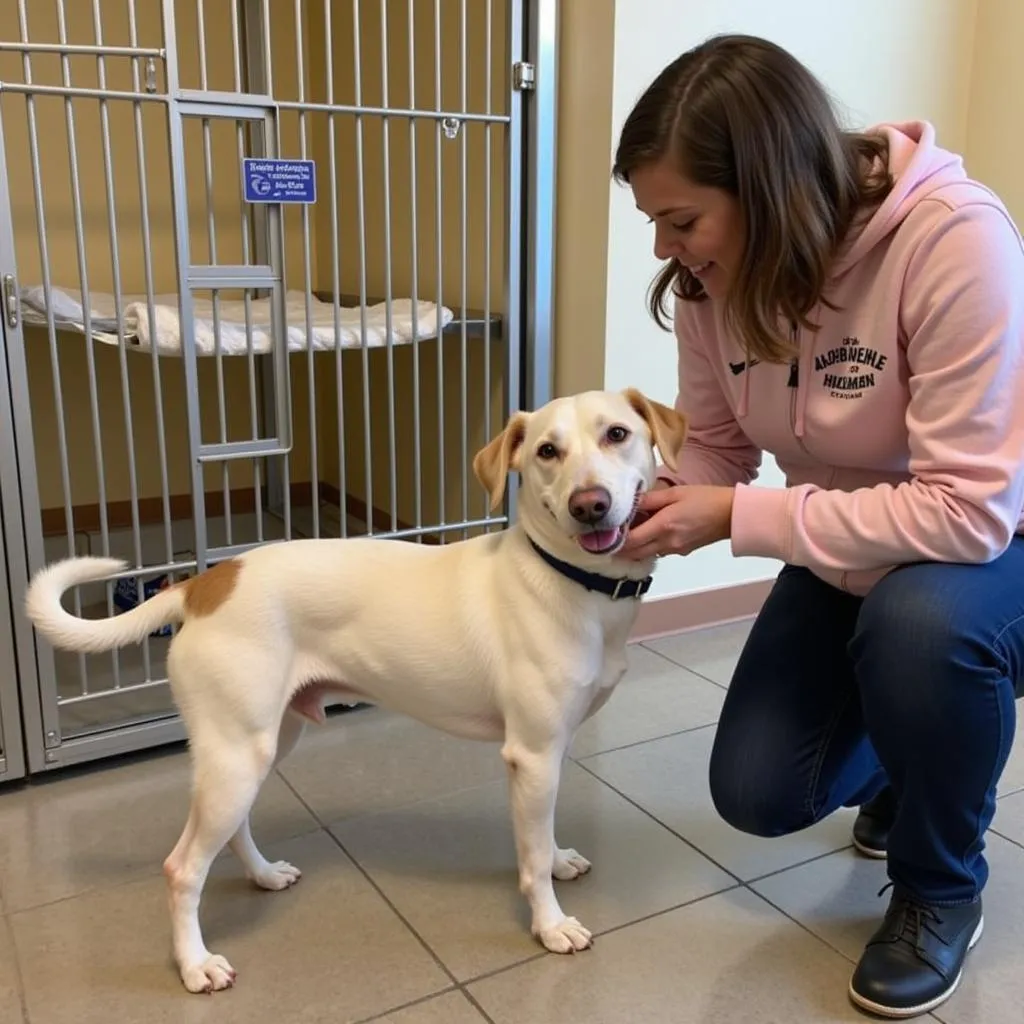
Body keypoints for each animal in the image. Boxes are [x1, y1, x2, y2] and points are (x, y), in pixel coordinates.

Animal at [22, 385, 688, 991]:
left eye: (617, 434)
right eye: (548, 451)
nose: (590, 504)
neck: (570, 580)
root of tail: (203, 584)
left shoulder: (550, 753)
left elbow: (541, 839)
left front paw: (559, 859)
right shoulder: (531, 754)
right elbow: (529, 860)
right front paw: (550, 925)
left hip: (264, 743)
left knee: (229, 830)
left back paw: (263, 875)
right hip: (237, 754)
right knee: (182, 868)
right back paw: (194, 964)